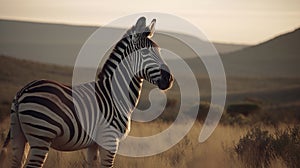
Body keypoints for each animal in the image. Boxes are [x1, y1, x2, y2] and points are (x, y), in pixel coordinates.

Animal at [0, 16, 173, 167]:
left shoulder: (94, 144)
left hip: (19, 136)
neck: (114, 94)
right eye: (145, 52)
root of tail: (23, 91)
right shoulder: (110, 139)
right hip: (41, 136)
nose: (169, 79)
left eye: (159, 51)